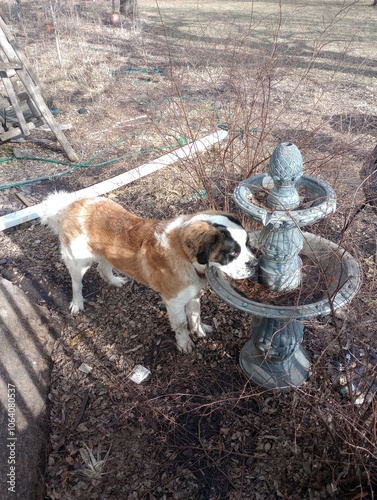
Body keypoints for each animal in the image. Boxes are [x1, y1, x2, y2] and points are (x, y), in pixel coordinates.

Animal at [39, 190, 258, 352]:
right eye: (233, 252)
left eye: (247, 244)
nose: (255, 264)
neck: (185, 255)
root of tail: (72, 205)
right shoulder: (174, 302)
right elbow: (181, 325)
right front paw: (185, 345)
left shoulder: (193, 295)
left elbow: (195, 314)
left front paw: (200, 330)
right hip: (78, 262)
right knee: (76, 283)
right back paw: (77, 303)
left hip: (106, 254)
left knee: (103, 267)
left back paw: (115, 281)